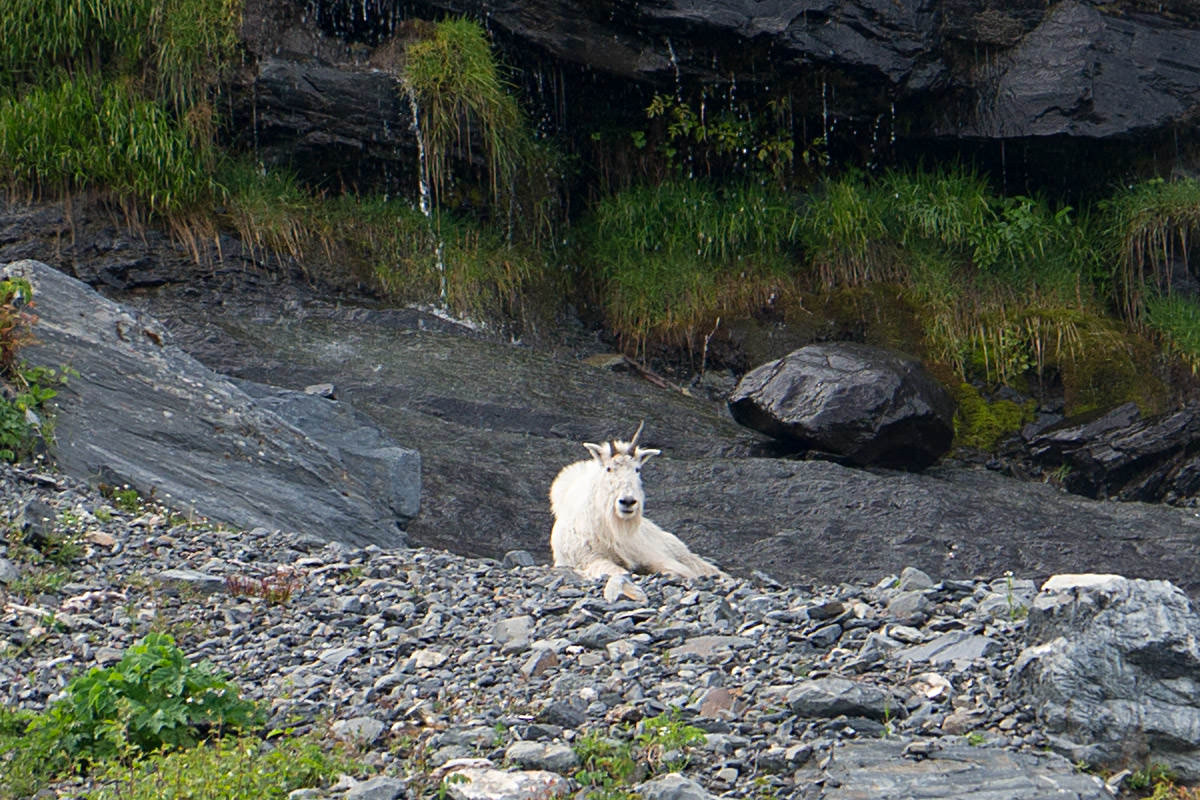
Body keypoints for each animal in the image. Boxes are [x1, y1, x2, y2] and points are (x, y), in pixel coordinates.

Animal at [549, 422, 724, 597]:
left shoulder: (650, 555)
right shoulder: (589, 558)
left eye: (637, 469)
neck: (609, 526)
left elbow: (676, 570)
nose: (628, 502)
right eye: (608, 468)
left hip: (678, 551)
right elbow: (619, 571)